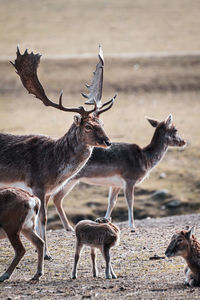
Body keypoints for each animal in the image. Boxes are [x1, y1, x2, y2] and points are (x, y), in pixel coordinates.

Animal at [0, 45, 116, 258]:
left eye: (102, 123)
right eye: (88, 126)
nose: (108, 141)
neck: (54, 168)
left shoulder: (46, 192)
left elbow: (40, 220)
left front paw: (44, 250)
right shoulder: (37, 185)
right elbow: (43, 219)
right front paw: (46, 253)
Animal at [49, 113, 186, 231]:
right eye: (175, 129)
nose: (183, 142)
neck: (145, 159)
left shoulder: (116, 184)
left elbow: (112, 202)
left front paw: (104, 220)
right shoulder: (130, 178)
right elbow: (130, 201)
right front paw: (132, 225)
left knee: (55, 198)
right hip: (70, 179)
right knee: (56, 197)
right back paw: (68, 227)